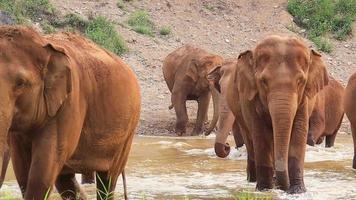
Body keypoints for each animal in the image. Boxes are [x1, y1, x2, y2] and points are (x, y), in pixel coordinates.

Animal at [0, 25, 140, 199]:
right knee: (65, 181)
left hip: (127, 133)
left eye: (21, 83)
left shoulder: (70, 102)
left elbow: (44, 169)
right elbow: (22, 171)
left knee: (107, 179)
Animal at [210, 36, 330, 194]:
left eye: (300, 81)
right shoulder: (251, 99)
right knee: (251, 141)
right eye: (263, 82)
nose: (227, 146)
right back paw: (254, 180)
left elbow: (298, 133)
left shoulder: (305, 101)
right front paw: (265, 190)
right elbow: (261, 136)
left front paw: (297, 191)